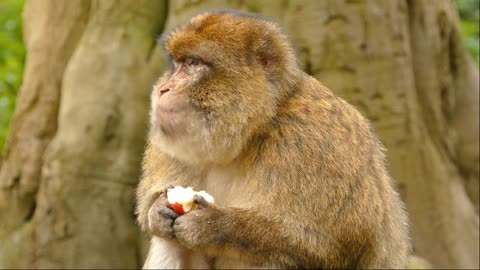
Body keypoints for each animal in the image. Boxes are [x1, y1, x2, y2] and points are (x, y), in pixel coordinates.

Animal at [134, 9, 408, 268]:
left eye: (193, 62)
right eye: (178, 64)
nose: (164, 89)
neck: (252, 132)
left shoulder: (315, 141)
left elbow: (336, 243)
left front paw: (213, 225)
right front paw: (157, 210)